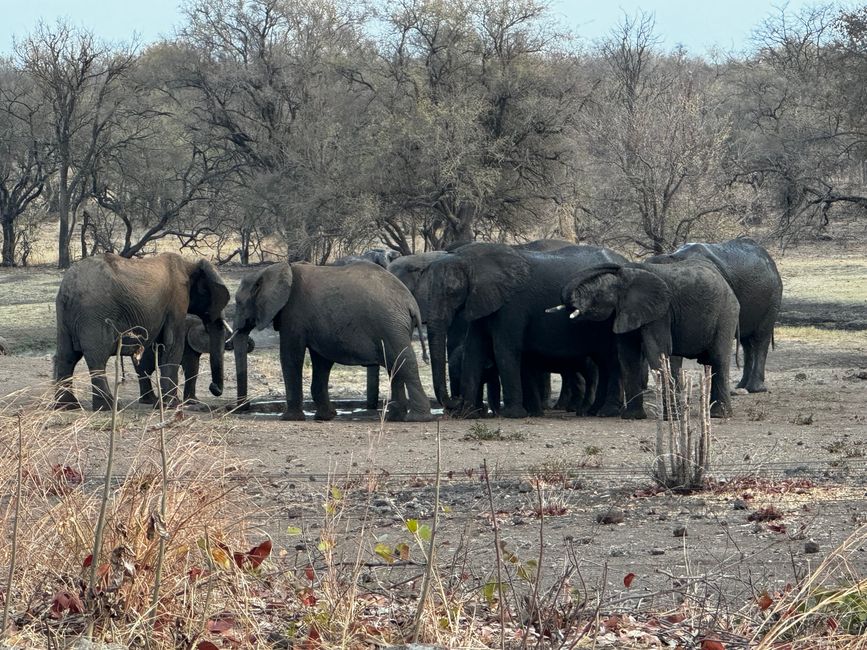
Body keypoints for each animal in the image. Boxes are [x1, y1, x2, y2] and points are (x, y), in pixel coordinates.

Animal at [53, 253, 231, 410]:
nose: (214, 387)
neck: (190, 265)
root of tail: (68, 288)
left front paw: (165, 404)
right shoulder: (177, 301)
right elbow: (173, 346)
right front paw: (171, 405)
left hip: (64, 314)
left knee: (67, 356)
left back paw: (67, 406)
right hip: (94, 314)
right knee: (97, 358)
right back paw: (109, 406)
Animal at [232, 260, 432, 420]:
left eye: (239, 303)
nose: (240, 409)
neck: (276, 269)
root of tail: (411, 303)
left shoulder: (293, 315)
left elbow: (291, 356)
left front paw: (289, 418)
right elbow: (321, 361)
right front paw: (325, 416)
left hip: (390, 325)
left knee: (405, 362)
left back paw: (418, 418)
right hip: (393, 327)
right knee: (395, 366)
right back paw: (394, 417)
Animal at [422, 240, 632, 418]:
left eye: (451, 292)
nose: (455, 401)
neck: (471, 258)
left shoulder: (512, 306)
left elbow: (504, 349)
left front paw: (512, 415)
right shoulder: (483, 301)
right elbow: (474, 350)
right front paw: (468, 414)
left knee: (611, 359)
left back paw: (604, 412)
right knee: (603, 361)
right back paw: (593, 412)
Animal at [556, 256, 740, 418]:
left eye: (597, 293)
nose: (619, 267)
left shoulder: (661, 312)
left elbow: (657, 351)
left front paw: (670, 417)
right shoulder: (627, 311)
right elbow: (627, 356)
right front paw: (633, 417)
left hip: (726, 314)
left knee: (718, 359)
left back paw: (719, 415)